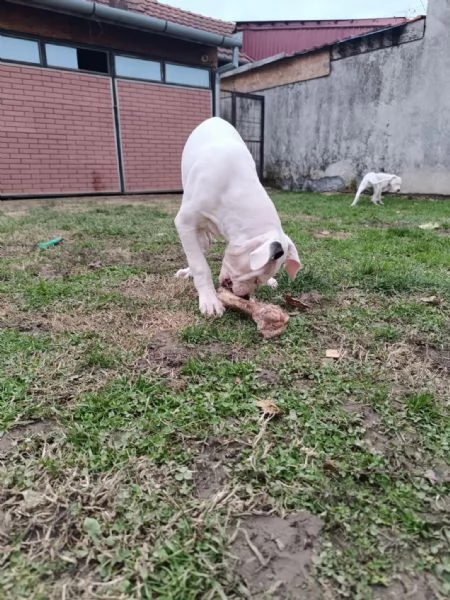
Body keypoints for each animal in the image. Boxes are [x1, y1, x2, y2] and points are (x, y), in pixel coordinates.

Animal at [174, 115, 300, 316]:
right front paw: (210, 301)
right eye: (256, 279)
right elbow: (200, 265)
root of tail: (215, 118)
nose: (245, 298)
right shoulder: (185, 223)